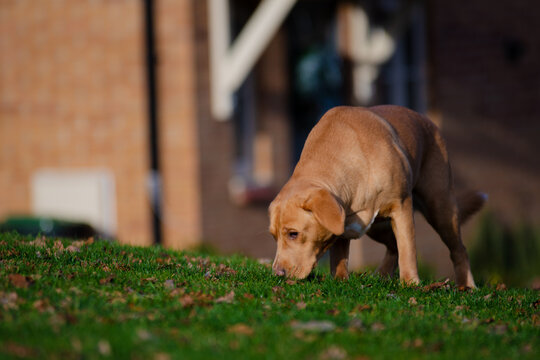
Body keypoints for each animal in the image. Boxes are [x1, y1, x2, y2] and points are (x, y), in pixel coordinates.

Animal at [270, 104, 486, 286]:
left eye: (293, 233)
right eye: (274, 237)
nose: (277, 274)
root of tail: (427, 121)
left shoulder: (401, 206)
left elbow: (408, 249)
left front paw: (410, 283)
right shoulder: (343, 224)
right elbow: (339, 257)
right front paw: (340, 281)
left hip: (440, 208)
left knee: (458, 249)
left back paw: (467, 286)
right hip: (376, 228)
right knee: (392, 246)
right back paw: (382, 275)